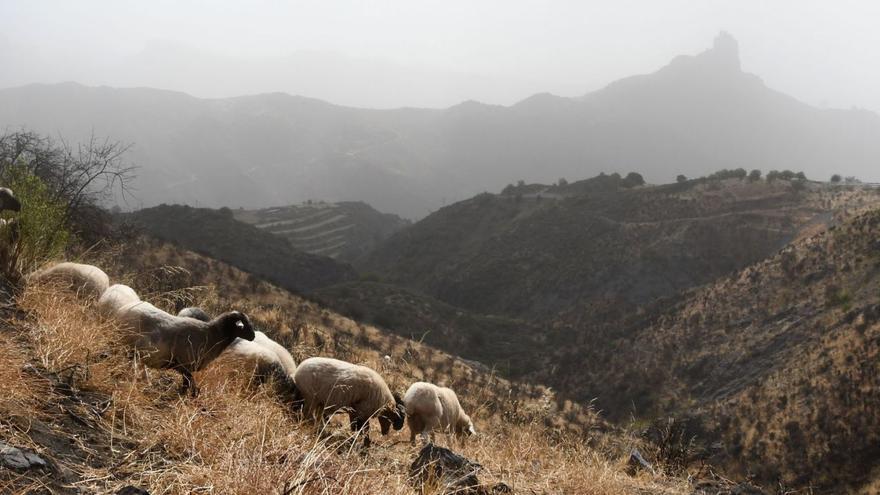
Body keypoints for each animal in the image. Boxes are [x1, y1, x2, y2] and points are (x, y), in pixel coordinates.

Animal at [111, 300, 253, 398]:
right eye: (244, 325)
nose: (253, 337)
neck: (212, 335)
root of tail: (123, 309)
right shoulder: (185, 365)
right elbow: (188, 384)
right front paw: (186, 396)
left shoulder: (185, 367)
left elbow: (189, 384)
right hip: (125, 343)